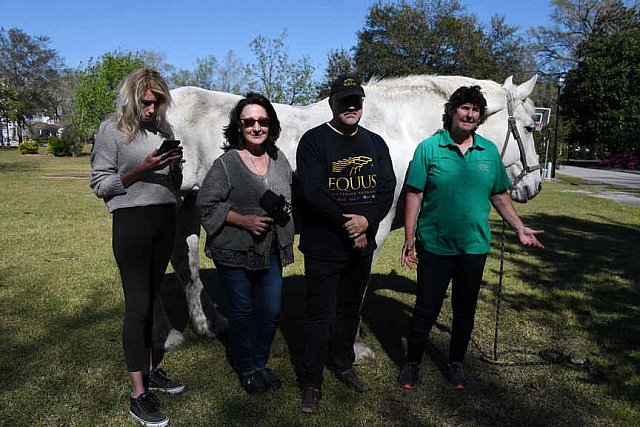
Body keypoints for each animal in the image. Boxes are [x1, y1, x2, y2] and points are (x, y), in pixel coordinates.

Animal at [159, 74, 540, 358]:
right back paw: (172, 335)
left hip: (192, 207)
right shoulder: (375, 226)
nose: (534, 184)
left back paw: (210, 323)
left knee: (185, 261)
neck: (396, 132)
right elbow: (357, 282)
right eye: (529, 128)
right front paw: (352, 346)